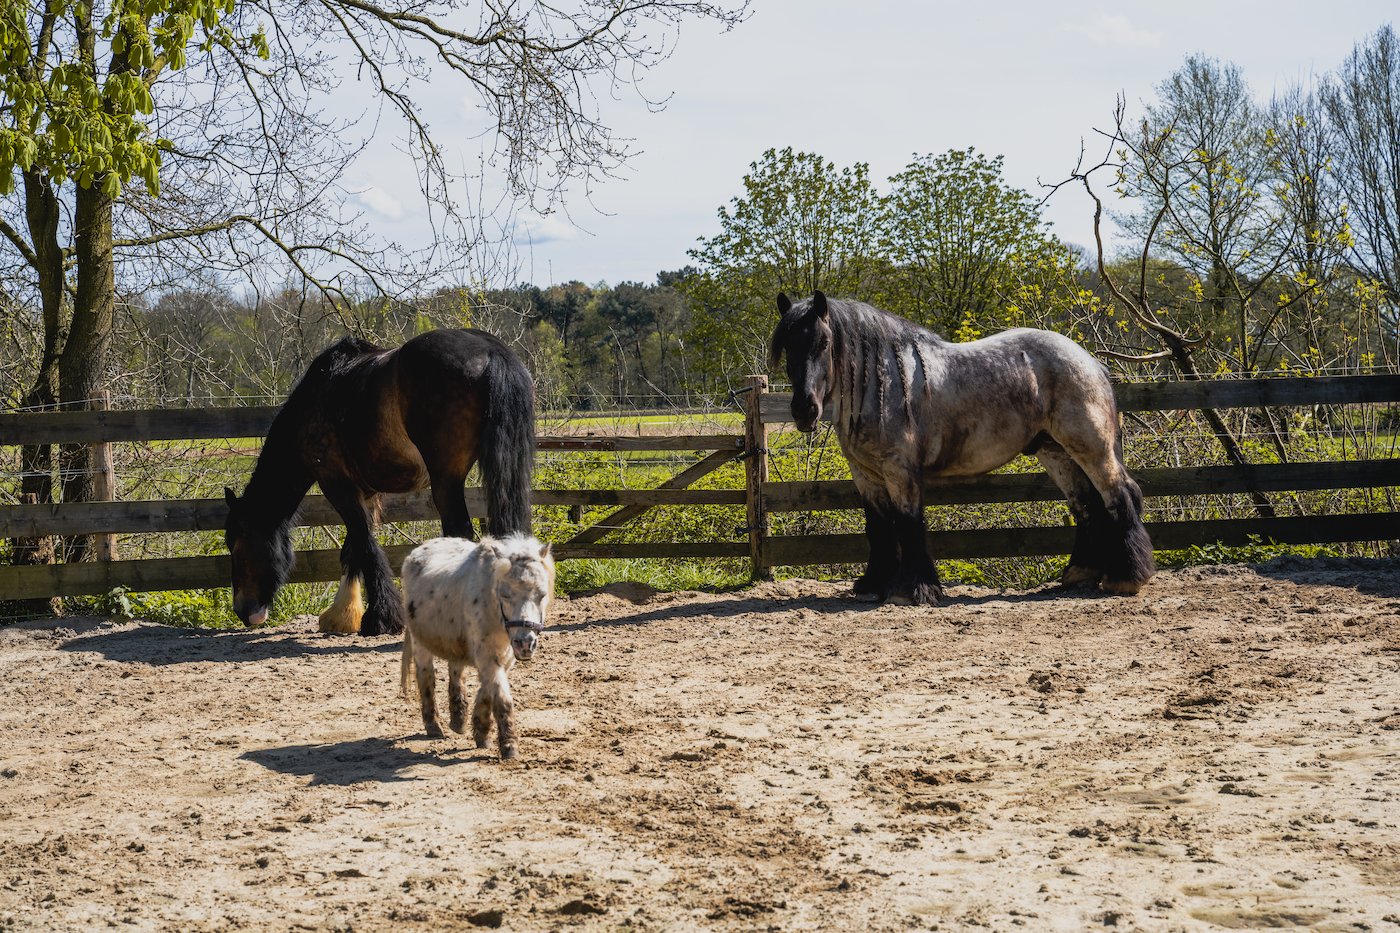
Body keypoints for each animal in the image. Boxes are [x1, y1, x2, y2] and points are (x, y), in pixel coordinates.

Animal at [223, 329, 535, 636]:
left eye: (236, 545)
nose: (243, 610)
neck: (316, 400)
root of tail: (491, 351)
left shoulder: (336, 484)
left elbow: (365, 544)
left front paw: (379, 617)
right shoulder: (367, 493)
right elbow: (353, 548)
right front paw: (345, 614)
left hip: (446, 481)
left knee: (457, 532)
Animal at [399, 534, 556, 759]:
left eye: (541, 595)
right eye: (505, 595)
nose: (525, 642)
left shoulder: (504, 657)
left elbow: (487, 691)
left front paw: (481, 732)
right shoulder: (487, 655)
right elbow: (501, 697)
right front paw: (509, 745)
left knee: (456, 671)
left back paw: (458, 721)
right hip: (420, 644)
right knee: (426, 677)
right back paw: (433, 725)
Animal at [770, 291, 1155, 606]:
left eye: (823, 343)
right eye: (788, 346)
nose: (804, 410)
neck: (883, 384)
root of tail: (1089, 360)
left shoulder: (900, 471)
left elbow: (908, 524)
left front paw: (914, 590)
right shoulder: (866, 476)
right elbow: (878, 528)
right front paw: (872, 585)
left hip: (1091, 446)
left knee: (1118, 495)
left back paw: (1127, 577)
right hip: (1056, 452)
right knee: (1086, 506)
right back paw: (1079, 575)